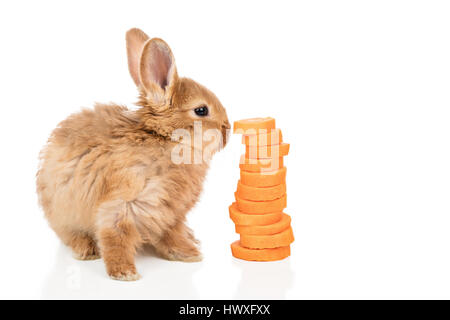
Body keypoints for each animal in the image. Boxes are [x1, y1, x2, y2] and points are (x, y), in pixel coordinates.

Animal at [37, 28, 230, 282]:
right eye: (201, 110)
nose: (228, 129)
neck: (166, 140)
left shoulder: (171, 215)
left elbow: (172, 235)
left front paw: (188, 254)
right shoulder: (121, 203)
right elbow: (115, 238)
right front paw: (124, 273)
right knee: (71, 235)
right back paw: (86, 250)